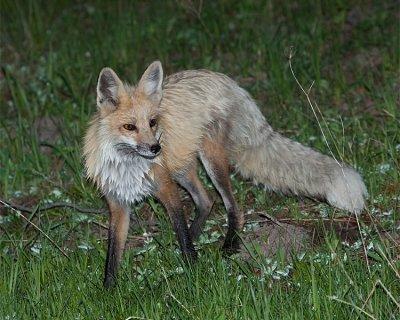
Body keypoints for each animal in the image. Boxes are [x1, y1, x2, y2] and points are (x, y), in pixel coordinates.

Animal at [83, 60, 368, 288]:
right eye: (129, 127)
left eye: (153, 123)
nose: (155, 148)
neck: (127, 165)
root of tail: (228, 82)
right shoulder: (118, 203)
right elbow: (112, 254)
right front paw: (109, 291)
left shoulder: (166, 187)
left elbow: (181, 233)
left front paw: (193, 272)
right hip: (183, 165)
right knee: (206, 201)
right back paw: (199, 233)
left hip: (210, 160)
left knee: (233, 208)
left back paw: (228, 245)